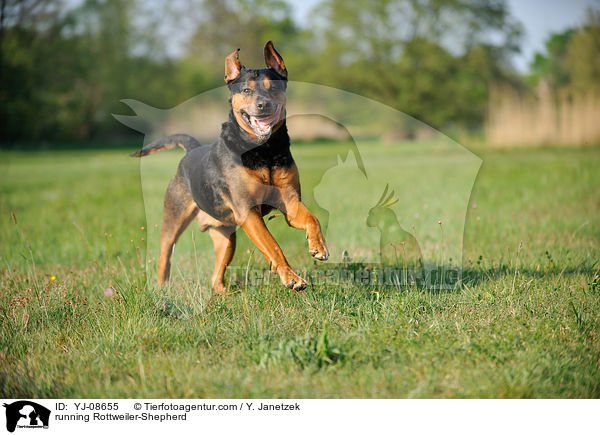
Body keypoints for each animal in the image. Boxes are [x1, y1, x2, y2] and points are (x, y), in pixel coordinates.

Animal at [132, 41, 328, 292]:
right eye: (246, 91)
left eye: (274, 88)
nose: (263, 105)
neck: (264, 149)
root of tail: (192, 150)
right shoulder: (247, 212)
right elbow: (273, 245)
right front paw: (291, 277)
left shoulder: (290, 202)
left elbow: (312, 218)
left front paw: (318, 247)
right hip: (173, 218)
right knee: (164, 256)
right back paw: (163, 290)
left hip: (226, 238)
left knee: (216, 276)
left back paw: (223, 295)